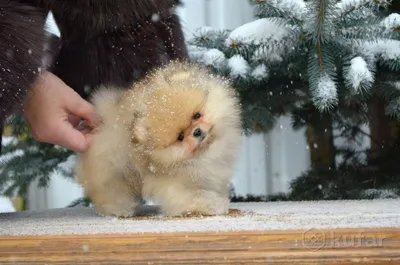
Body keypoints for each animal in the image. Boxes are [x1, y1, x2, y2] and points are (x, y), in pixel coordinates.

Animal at [75, 61, 244, 217]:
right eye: (180, 137)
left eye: (197, 115)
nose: (197, 132)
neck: (203, 154)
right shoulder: (173, 186)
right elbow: (193, 197)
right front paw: (214, 205)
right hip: (112, 173)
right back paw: (120, 210)